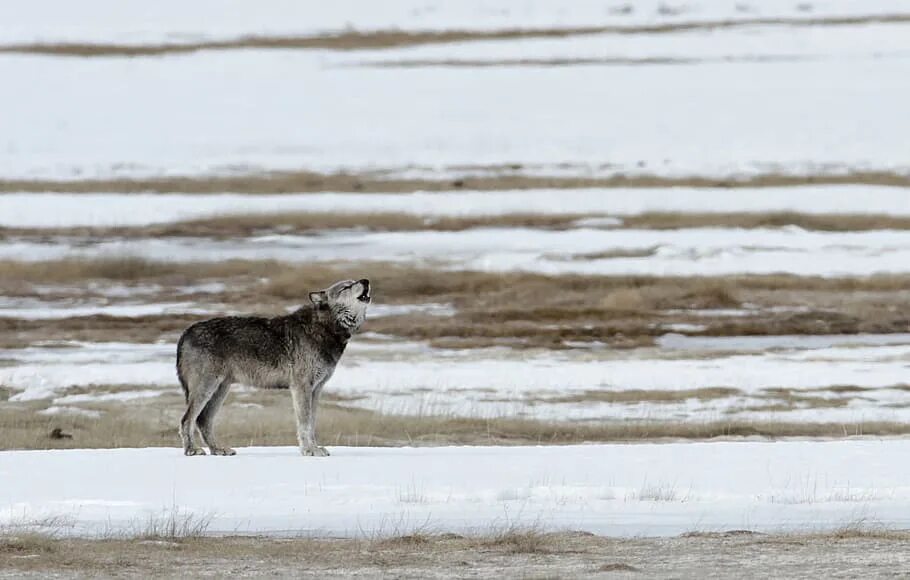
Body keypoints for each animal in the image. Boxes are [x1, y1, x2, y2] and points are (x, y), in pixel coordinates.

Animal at [176, 278, 372, 456]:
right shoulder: (301, 387)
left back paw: (218, 449)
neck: (324, 327)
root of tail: (186, 331)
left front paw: (315, 448)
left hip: (220, 390)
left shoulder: (316, 389)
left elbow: (312, 423)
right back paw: (192, 450)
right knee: (187, 419)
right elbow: (305, 423)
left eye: (354, 281)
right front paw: (309, 450)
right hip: (207, 388)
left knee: (203, 420)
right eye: (346, 286)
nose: (366, 280)